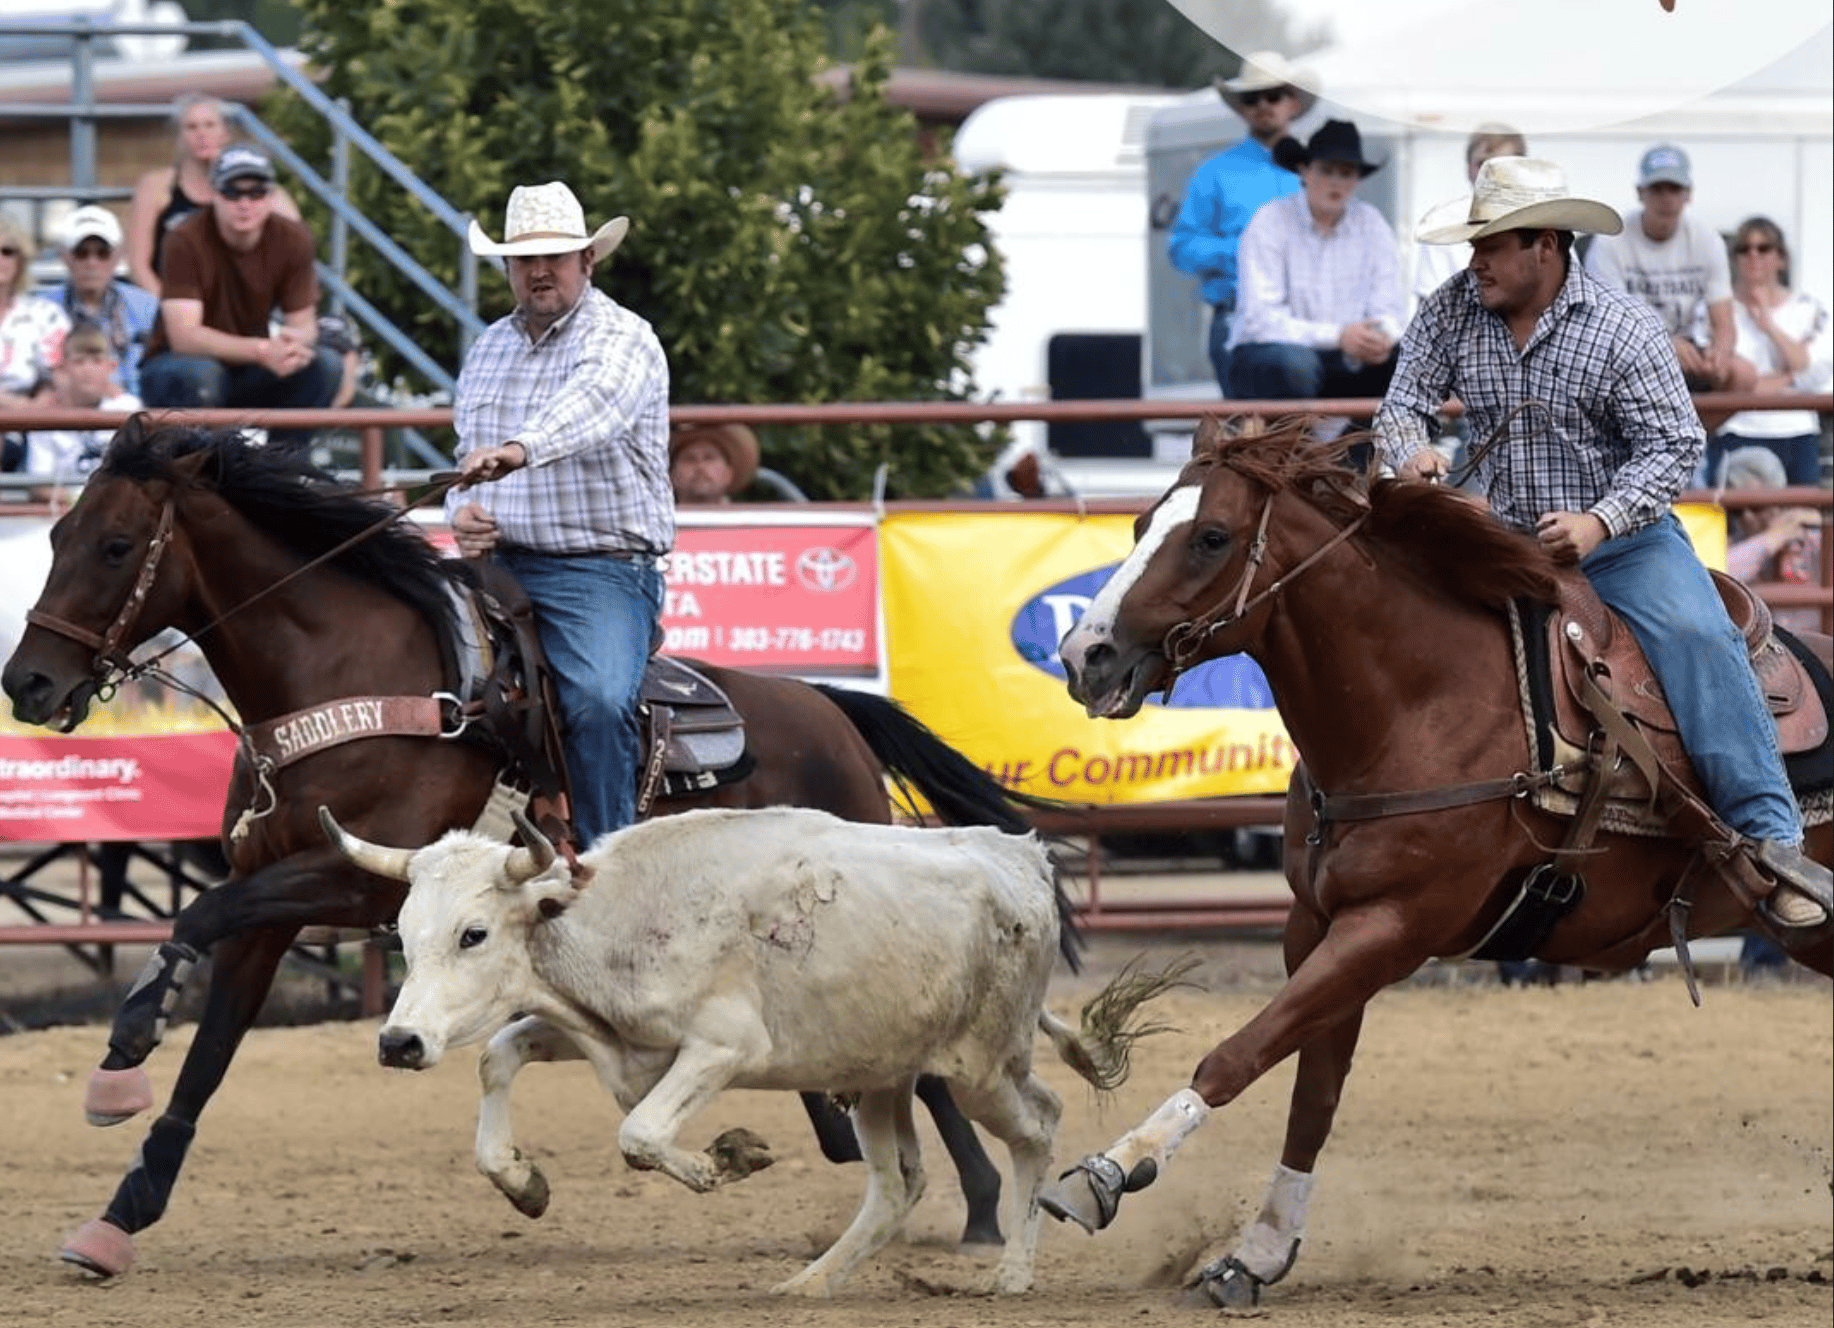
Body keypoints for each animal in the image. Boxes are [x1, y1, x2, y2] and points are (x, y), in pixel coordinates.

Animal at [0, 420, 1056, 1283]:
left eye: (115, 545)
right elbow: (211, 1052)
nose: (29, 683)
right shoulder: (281, 892)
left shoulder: (352, 881)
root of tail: (828, 705)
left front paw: (124, 1051)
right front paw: (121, 1211)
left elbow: (197, 911)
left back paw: (979, 1206)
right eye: (53, 537)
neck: (348, 679)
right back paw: (923, 1176)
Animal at [1041, 418, 1826, 1305]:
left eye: (1212, 536)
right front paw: (1258, 1254)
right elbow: (1312, 1092)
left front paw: (1107, 1173)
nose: (1085, 655)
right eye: (1142, 525)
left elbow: (1239, 1052)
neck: (1421, 703)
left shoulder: (1393, 928)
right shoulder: (1317, 926)